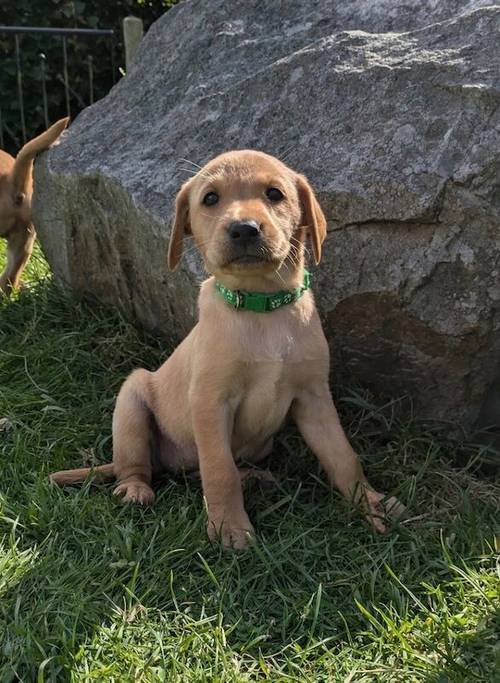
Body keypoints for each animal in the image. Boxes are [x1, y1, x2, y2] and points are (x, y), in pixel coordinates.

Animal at [50, 151, 402, 552]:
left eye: (274, 193)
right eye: (211, 199)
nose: (244, 229)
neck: (262, 308)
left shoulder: (314, 398)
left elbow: (344, 457)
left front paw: (371, 503)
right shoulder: (210, 402)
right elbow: (219, 471)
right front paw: (228, 527)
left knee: (209, 469)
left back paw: (255, 478)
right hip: (132, 399)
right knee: (138, 463)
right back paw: (135, 489)